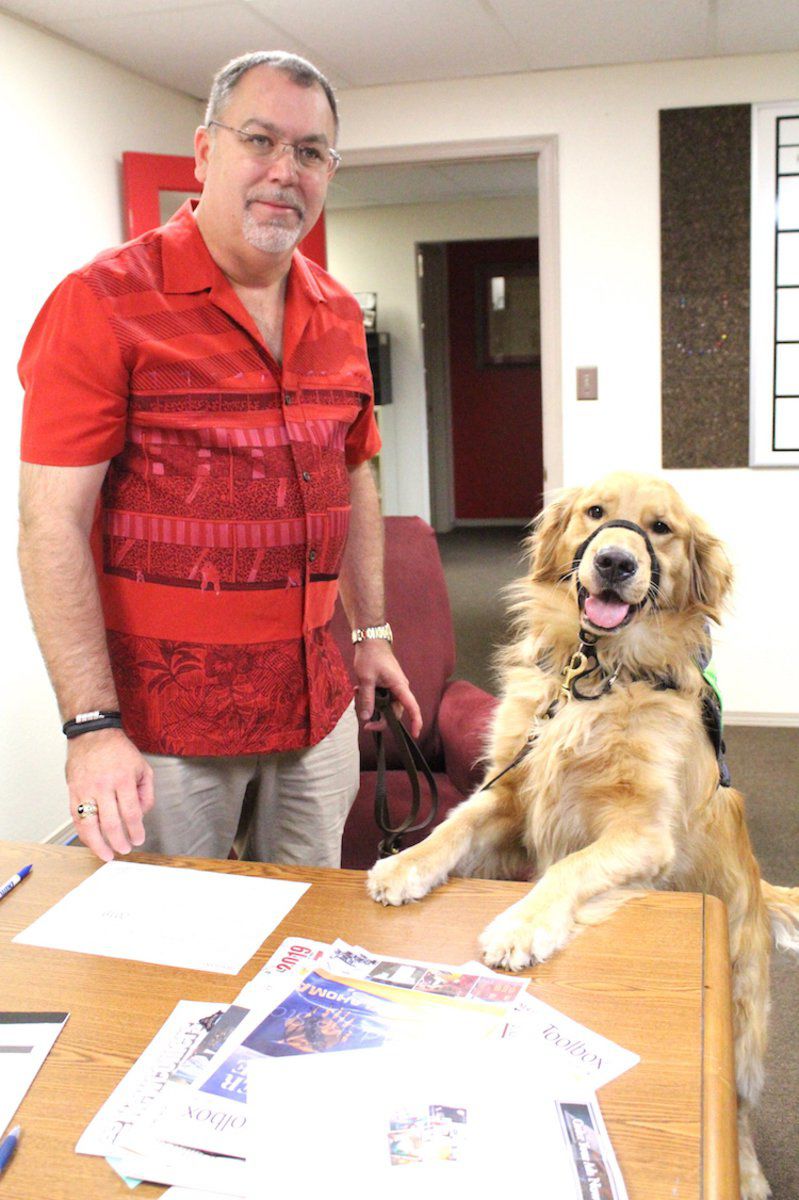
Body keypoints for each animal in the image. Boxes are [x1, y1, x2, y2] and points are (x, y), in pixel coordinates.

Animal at [369, 470, 796, 1200]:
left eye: (660, 528)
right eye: (596, 514)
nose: (616, 562)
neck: (600, 673)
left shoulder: (643, 832)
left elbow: (568, 869)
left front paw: (520, 926)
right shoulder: (511, 795)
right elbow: (454, 825)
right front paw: (406, 864)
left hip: (742, 1017)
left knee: (738, 1107)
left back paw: (745, 1171)